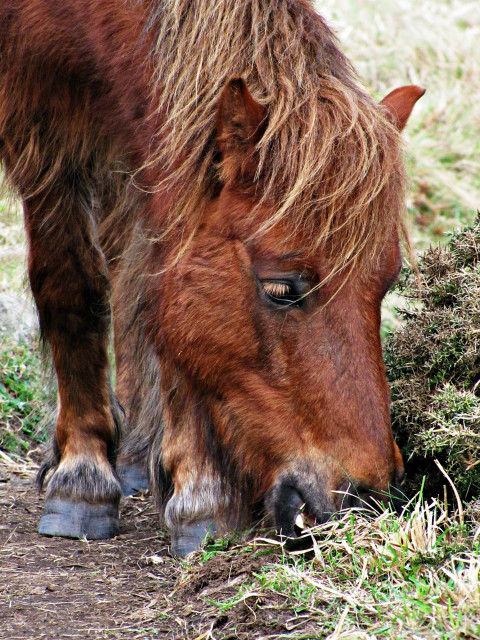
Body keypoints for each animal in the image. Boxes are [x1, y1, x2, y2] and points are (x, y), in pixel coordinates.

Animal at [0, 1, 422, 556]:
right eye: (281, 289)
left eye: (386, 285)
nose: (367, 497)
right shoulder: (40, 120)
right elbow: (72, 287)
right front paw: (83, 477)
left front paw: (200, 492)